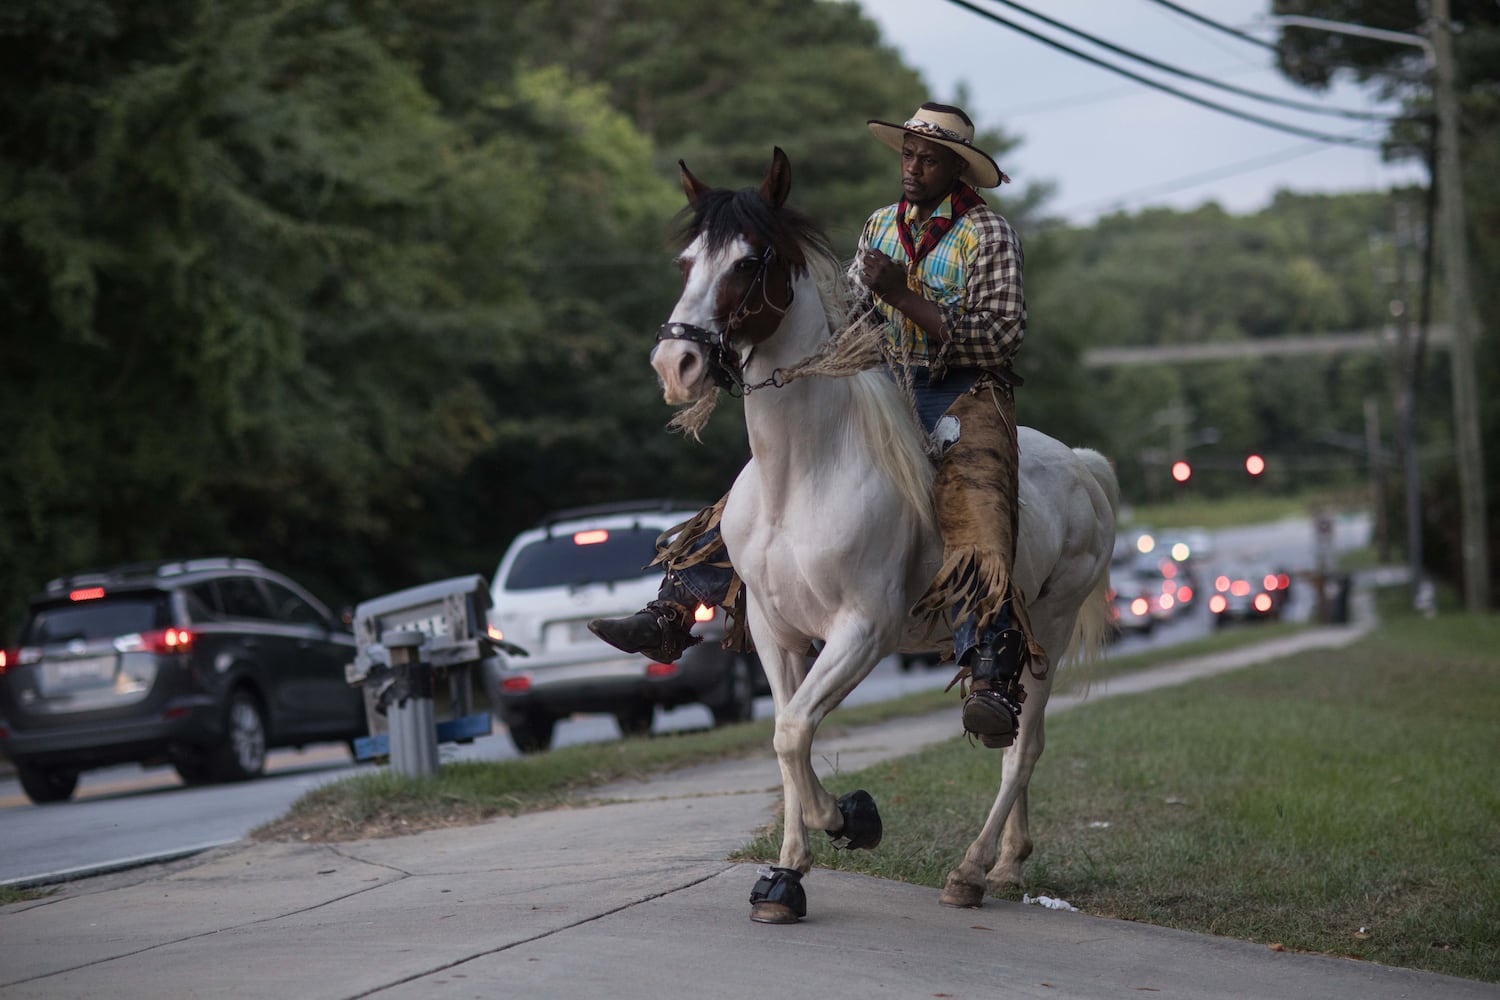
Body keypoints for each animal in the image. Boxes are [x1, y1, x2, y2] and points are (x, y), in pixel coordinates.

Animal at [651, 146, 1122, 923]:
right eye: (687, 261)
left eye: (748, 262)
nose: (676, 365)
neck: (803, 475)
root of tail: (1085, 466)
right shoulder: (776, 632)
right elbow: (786, 737)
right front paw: (785, 877)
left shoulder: (863, 631)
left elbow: (795, 733)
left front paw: (851, 819)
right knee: (1020, 746)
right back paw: (1008, 866)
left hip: (1049, 627)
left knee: (1019, 746)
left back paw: (970, 871)